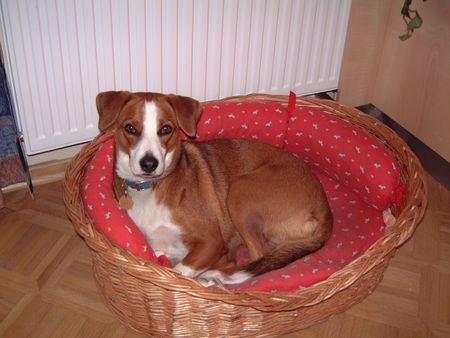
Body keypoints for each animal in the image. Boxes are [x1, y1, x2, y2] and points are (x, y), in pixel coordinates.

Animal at [96, 91, 332, 286]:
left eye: (165, 129)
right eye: (130, 128)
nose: (149, 164)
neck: (150, 189)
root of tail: (324, 206)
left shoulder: (211, 242)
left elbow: (180, 272)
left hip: (240, 193)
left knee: (257, 259)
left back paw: (214, 277)